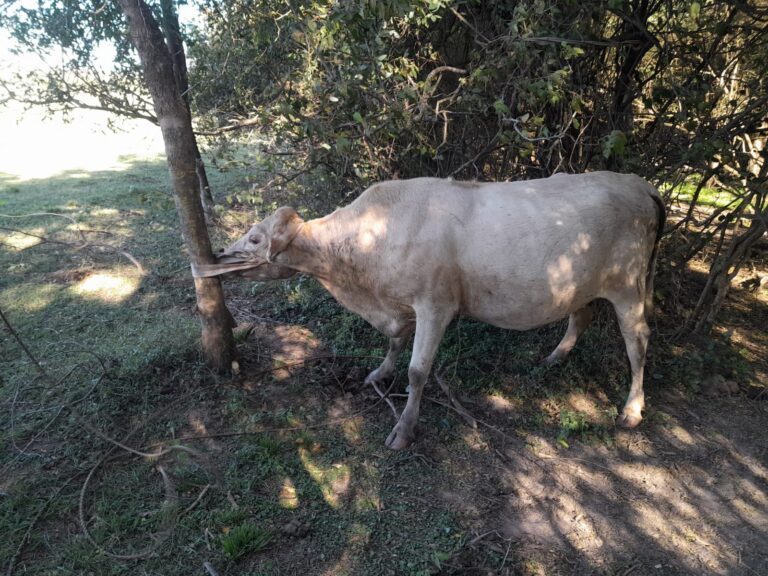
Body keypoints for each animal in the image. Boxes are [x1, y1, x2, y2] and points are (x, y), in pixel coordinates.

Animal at [194, 172, 666, 450]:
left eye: (255, 238)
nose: (216, 256)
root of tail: (639, 183)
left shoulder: (436, 303)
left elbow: (418, 371)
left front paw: (403, 429)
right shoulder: (398, 303)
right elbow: (394, 342)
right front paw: (379, 373)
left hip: (627, 284)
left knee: (638, 339)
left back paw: (631, 409)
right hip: (583, 284)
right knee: (580, 315)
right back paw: (554, 357)